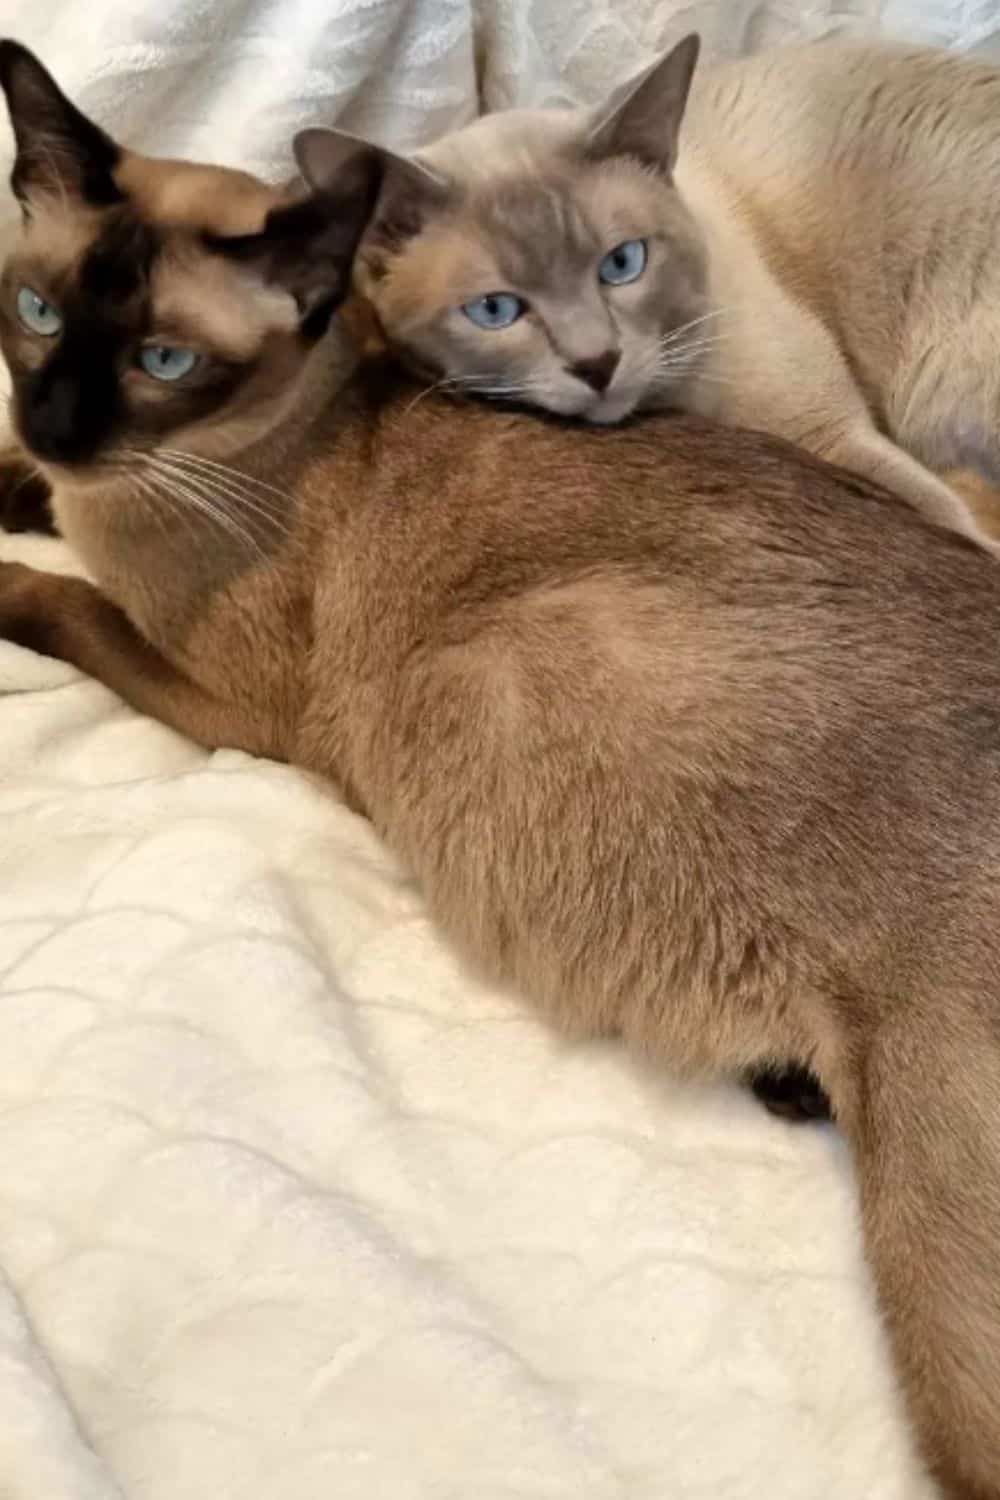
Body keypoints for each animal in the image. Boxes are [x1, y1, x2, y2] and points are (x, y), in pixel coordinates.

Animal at [302, 35, 1000, 552]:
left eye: (622, 264)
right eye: (496, 310)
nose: (597, 364)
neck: (680, 401)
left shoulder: (834, 434)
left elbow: (953, 521)